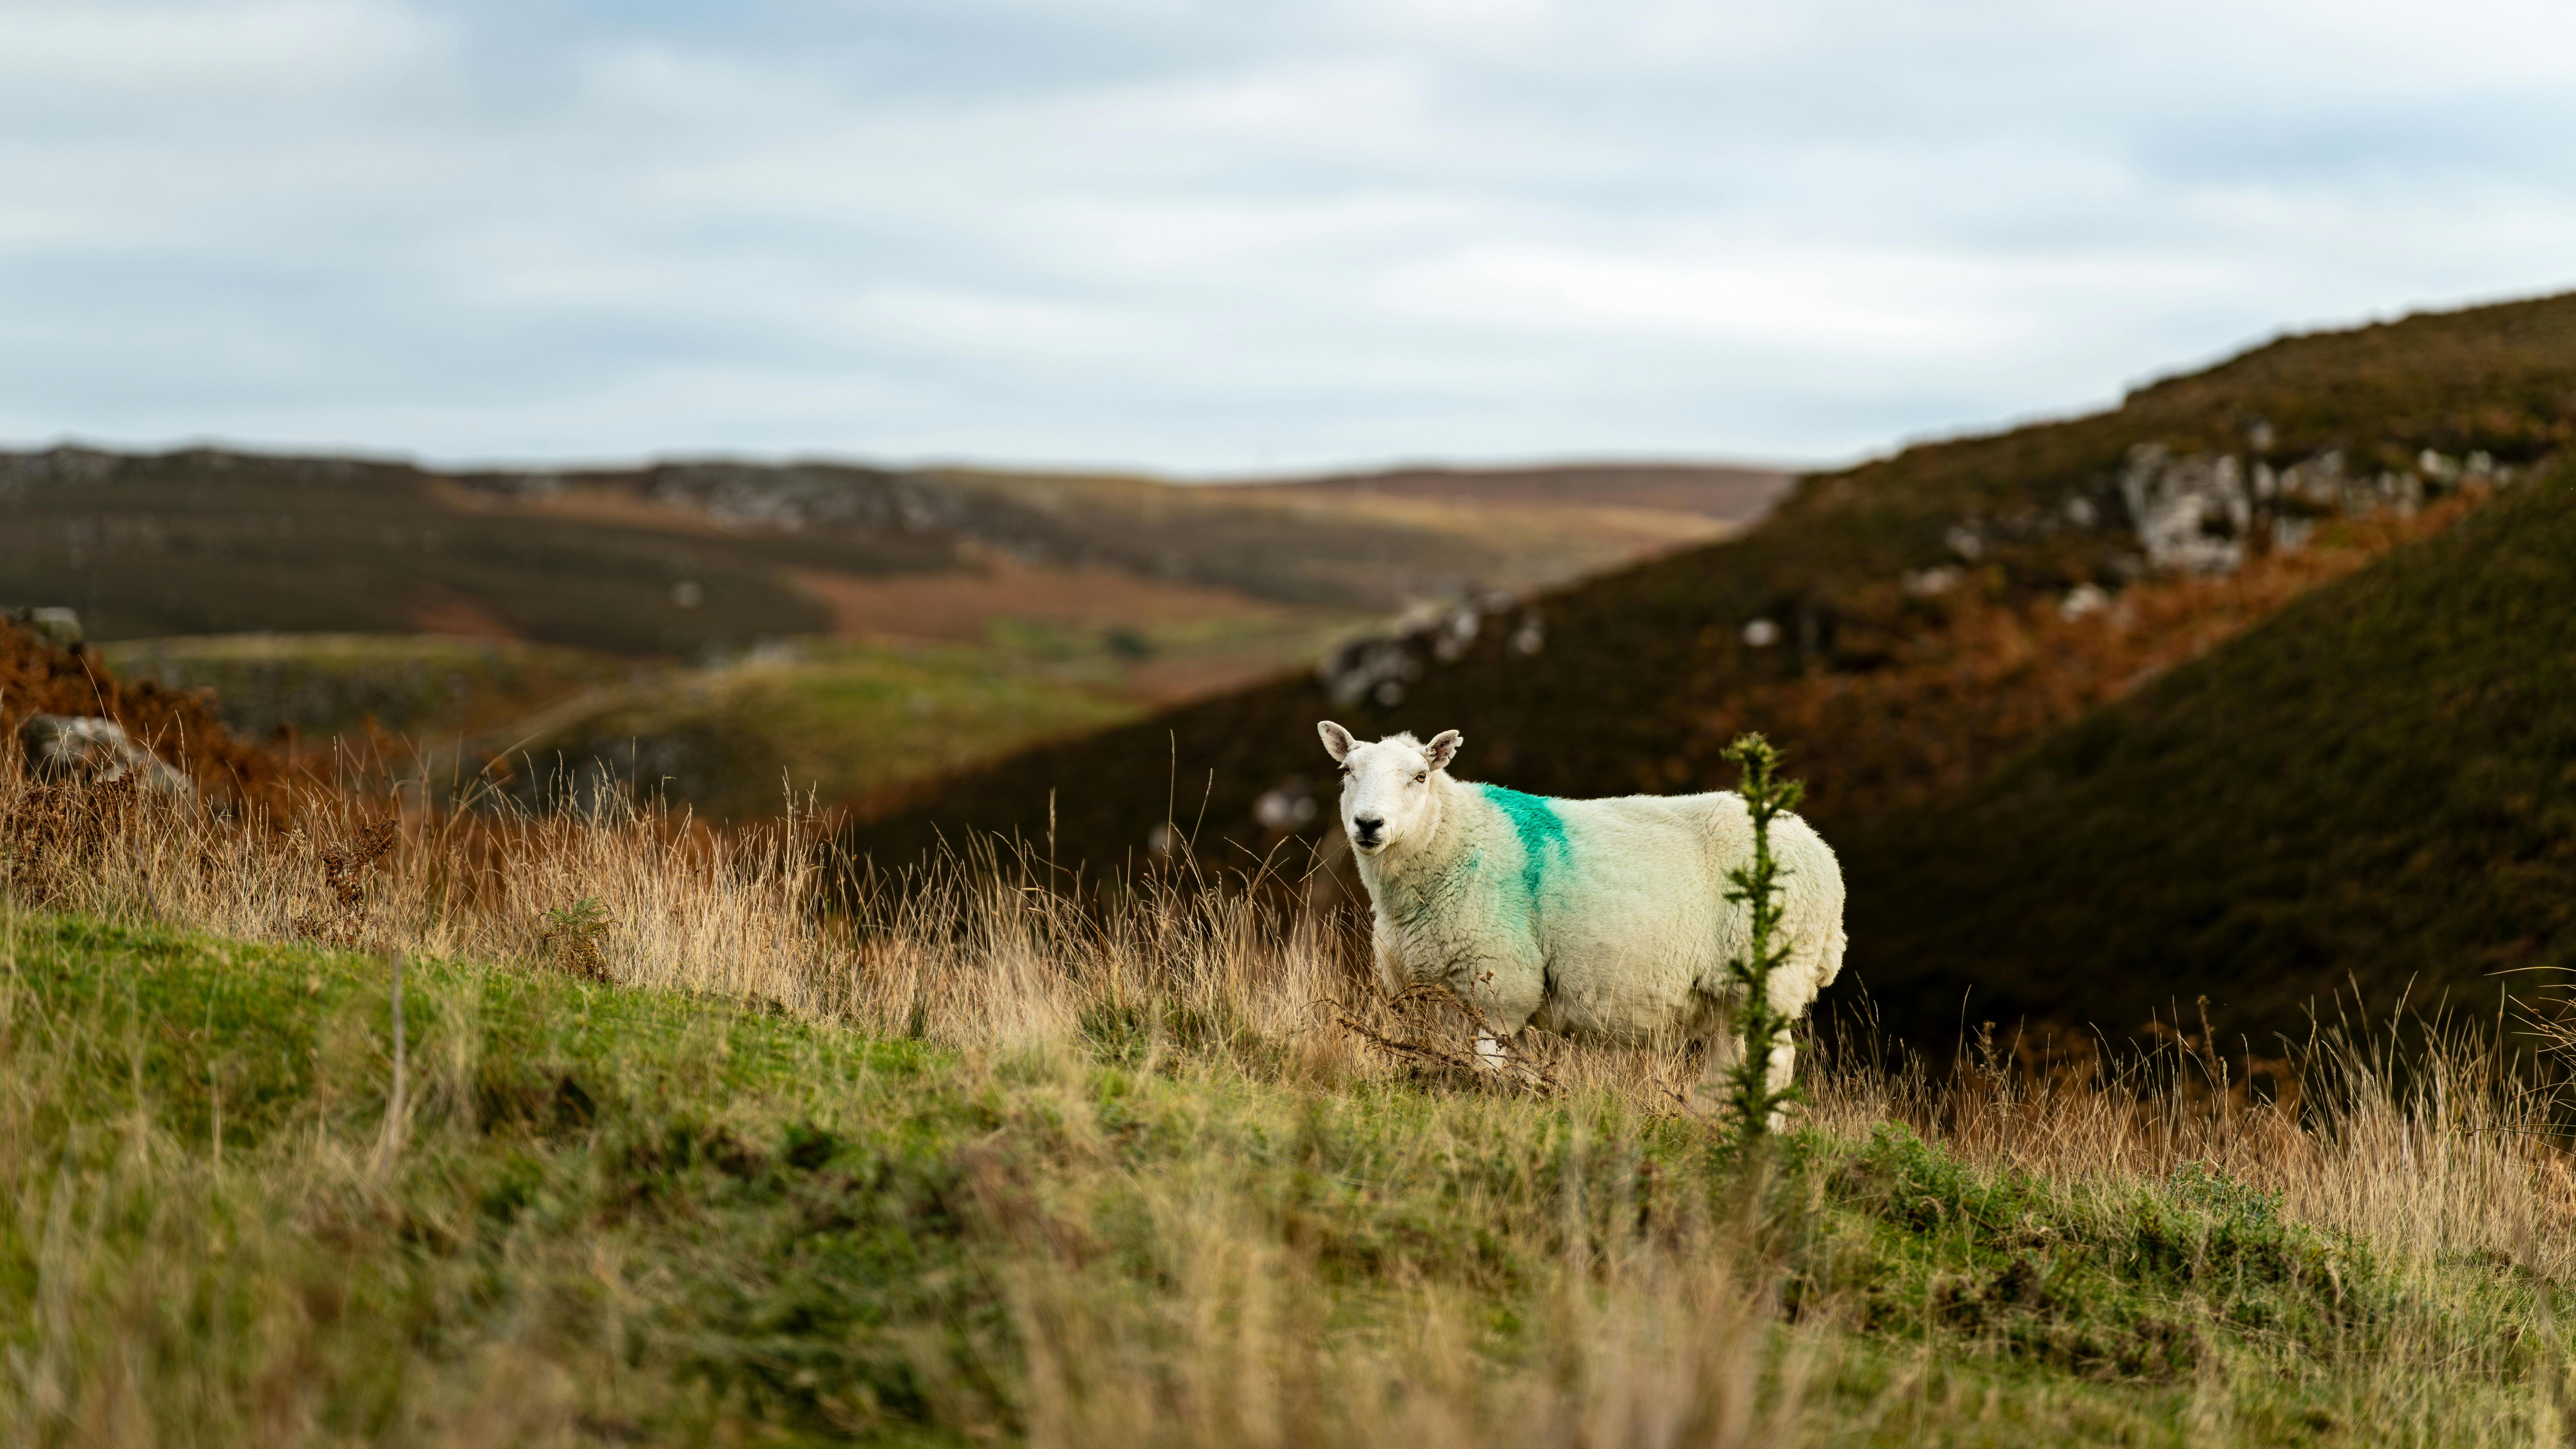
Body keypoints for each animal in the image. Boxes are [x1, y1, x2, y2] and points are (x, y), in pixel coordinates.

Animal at [1318, 721, 1847, 1114]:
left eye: (1420, 777)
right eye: (1346, 771)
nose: (1368, 824)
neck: (1451, 841)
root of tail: (1822, 852)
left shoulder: (1500, 981)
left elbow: (1486, 1069)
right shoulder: (1468, 994)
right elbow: (1517, 1068)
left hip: (1775, 974)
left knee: (1777, 1062)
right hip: (1726, 994)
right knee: (1725, 1063)